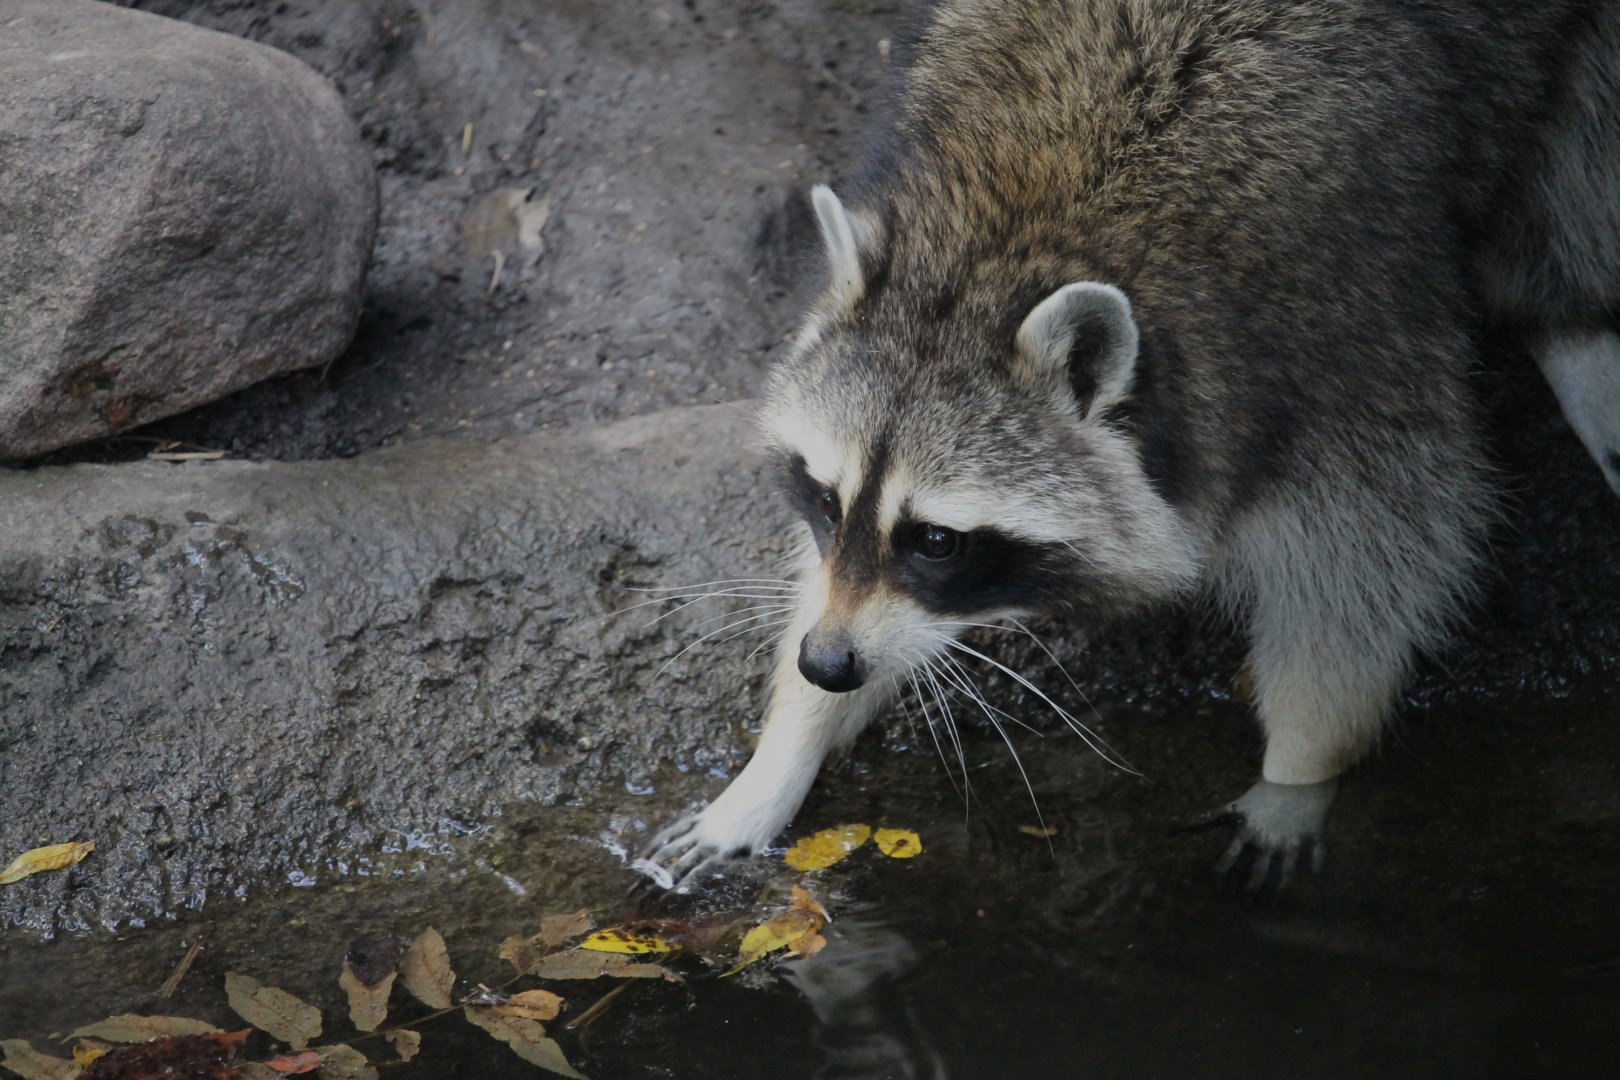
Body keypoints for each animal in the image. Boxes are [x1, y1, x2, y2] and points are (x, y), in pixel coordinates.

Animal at [640, 0, 1620, 889]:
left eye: (937, 541)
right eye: (827, 498)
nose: (828, 662)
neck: (1010, 243)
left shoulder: (1346, 330)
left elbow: (1379, 549)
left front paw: (1301, 766)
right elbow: (832, 585)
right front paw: (783, 752)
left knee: (1576, 175)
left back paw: (1576, 334)